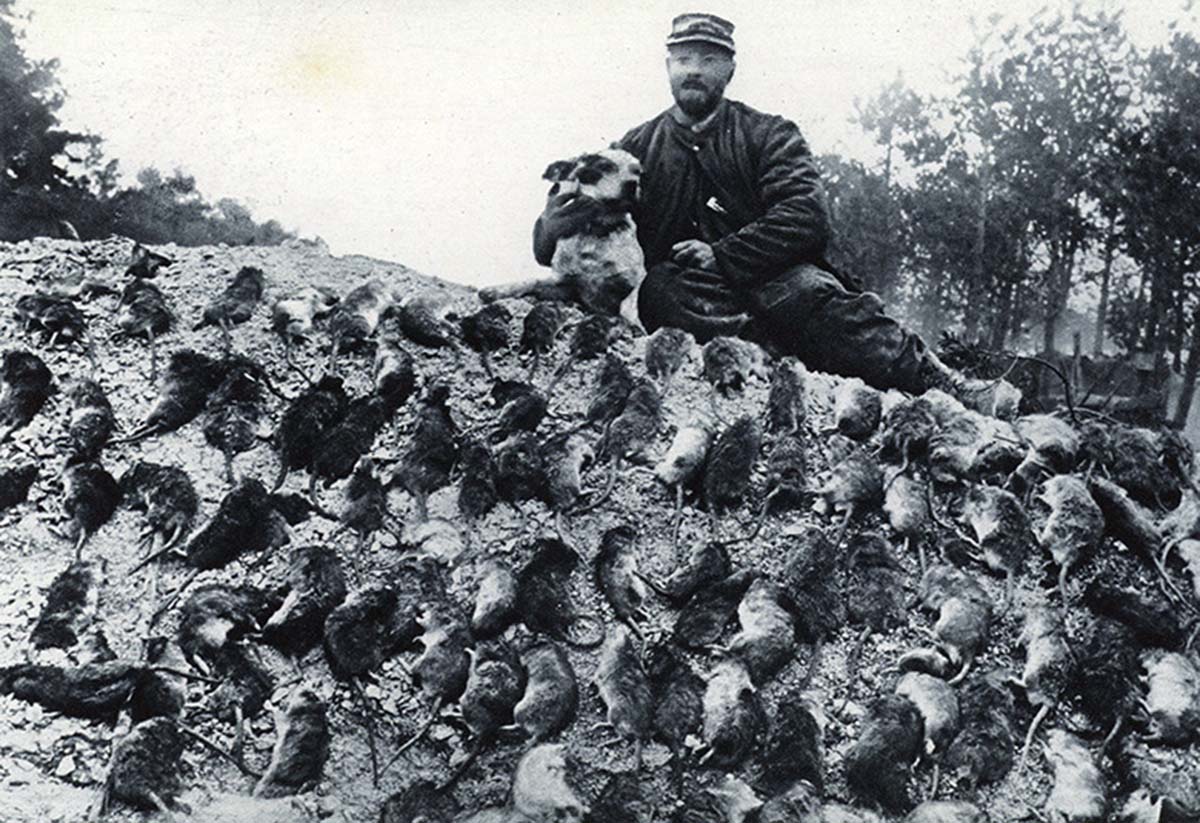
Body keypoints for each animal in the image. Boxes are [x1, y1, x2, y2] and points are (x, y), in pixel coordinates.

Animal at [480, 148, 648, 328]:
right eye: (604, 166)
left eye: (637, 172)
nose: (633, 184)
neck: (596, 230)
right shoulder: (567, 285)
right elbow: (533, 281)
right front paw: (499, 290)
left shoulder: (635, 279)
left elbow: (630, 303)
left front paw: (635, 323)